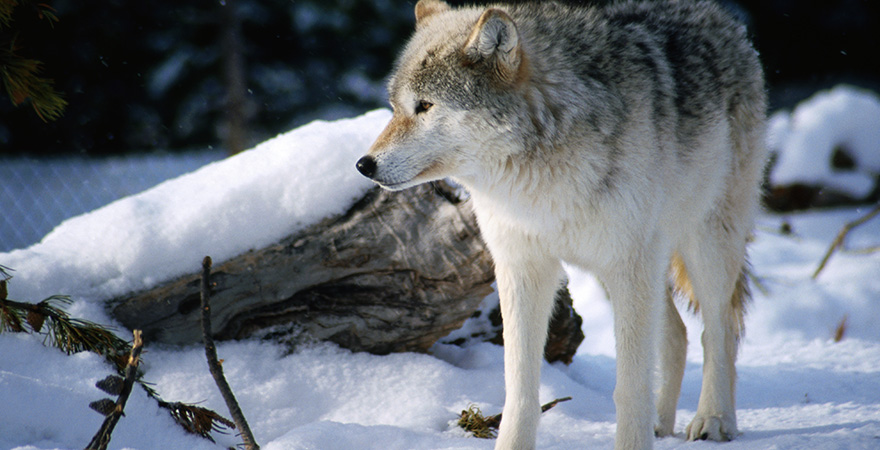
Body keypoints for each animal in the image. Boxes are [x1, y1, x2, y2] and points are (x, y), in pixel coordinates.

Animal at [354, 1, 768, 448]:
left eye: (425, 106)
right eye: (396, 106)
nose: (364, 164)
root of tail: (721, 17)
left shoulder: (628, 266)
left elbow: (629, 388)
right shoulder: (523, 269)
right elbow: (519, 388)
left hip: (702, 246)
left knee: (718, 330)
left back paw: (714, 419)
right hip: (633, 268)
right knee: (677, 335)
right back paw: (661, 424)